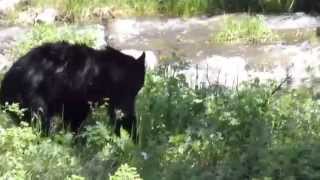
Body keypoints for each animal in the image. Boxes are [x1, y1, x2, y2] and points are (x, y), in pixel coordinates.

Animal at [0, 41, 146, 142]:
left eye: (137, 86)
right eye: (124, 85)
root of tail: (6, 81)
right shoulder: (78, 93)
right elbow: (76, 116)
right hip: (31, 96)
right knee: (39, 119)